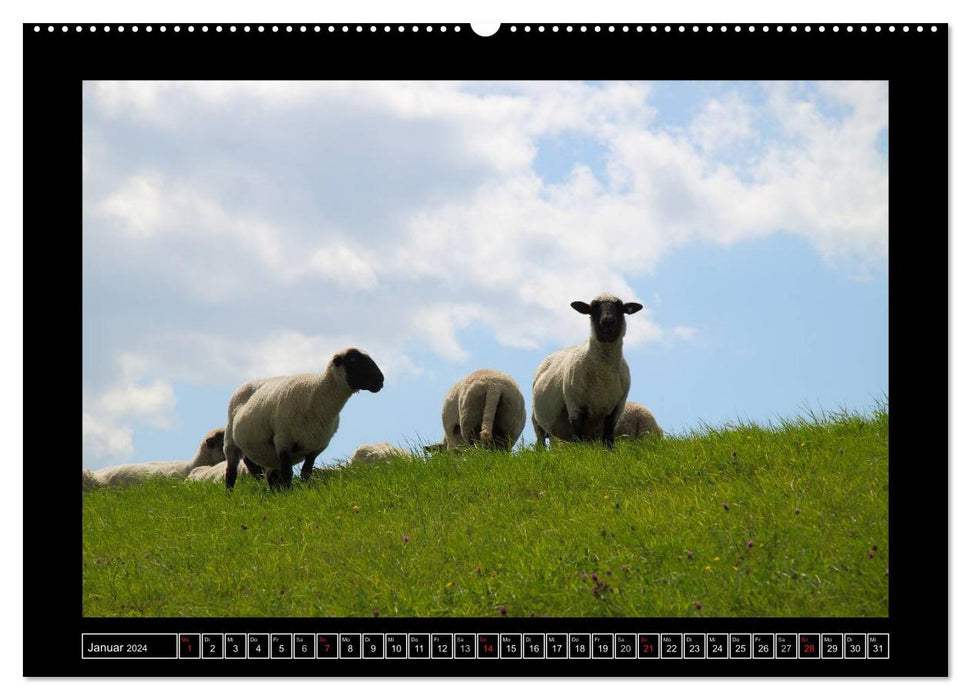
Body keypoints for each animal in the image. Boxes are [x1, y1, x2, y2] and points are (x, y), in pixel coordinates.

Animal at [224, 348, 384, 490]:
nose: (380, 380)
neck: (319, 395)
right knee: (231, 473)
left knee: (269, 474)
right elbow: (288, 474)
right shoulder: (283, 440)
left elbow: (306, 474)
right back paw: (229, 495)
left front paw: (303, 491)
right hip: (231, 441)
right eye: (353, 359)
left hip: (269, 453)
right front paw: (288, 496)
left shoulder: (316, 447)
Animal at [536, 292, 640, 448]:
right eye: (593, 308)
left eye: (620, 307)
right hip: (537, 422)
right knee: (541, 442)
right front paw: (579, 451)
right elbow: (578, 436)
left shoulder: (617, 409)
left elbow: (608, 439)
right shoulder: (575, 406)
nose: (608, 321)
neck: (604, 374)